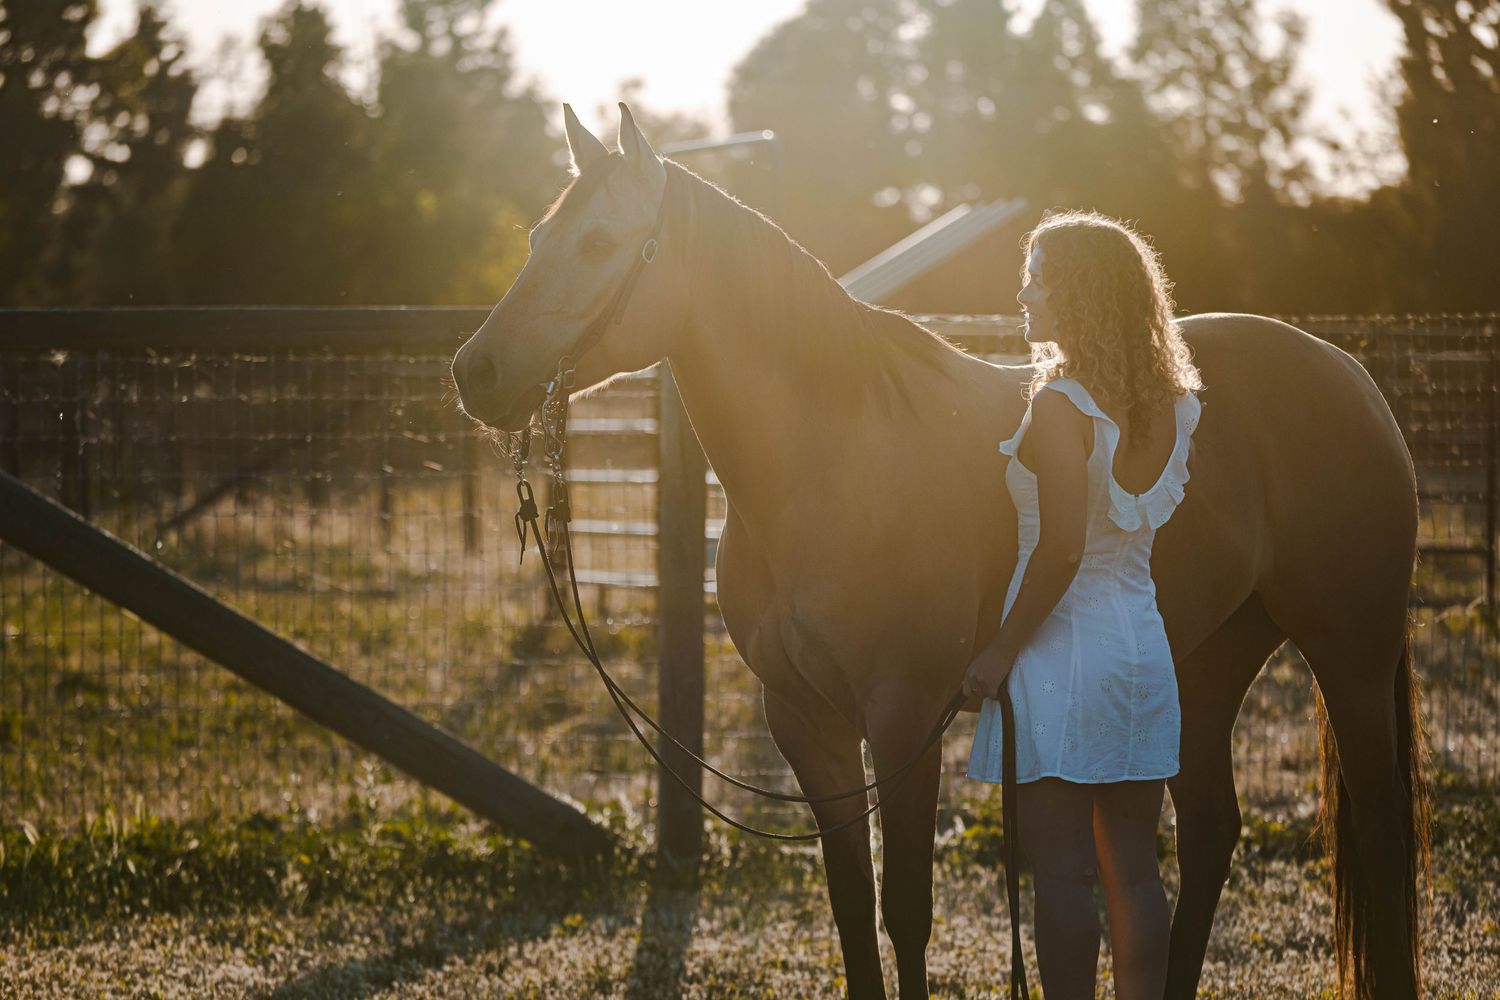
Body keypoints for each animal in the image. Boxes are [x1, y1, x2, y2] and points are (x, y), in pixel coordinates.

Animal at [451, 104, 1428, 1000]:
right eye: (539, 235)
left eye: (600, 241)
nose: (475, 372)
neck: (829, 466)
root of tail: (1351, 374)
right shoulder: (805, 720)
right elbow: (851, 907)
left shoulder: (904, 714)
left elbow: (906, 911)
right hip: (1209, 661)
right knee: (1213, 830)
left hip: (1350, 649)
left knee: (1383, 834)